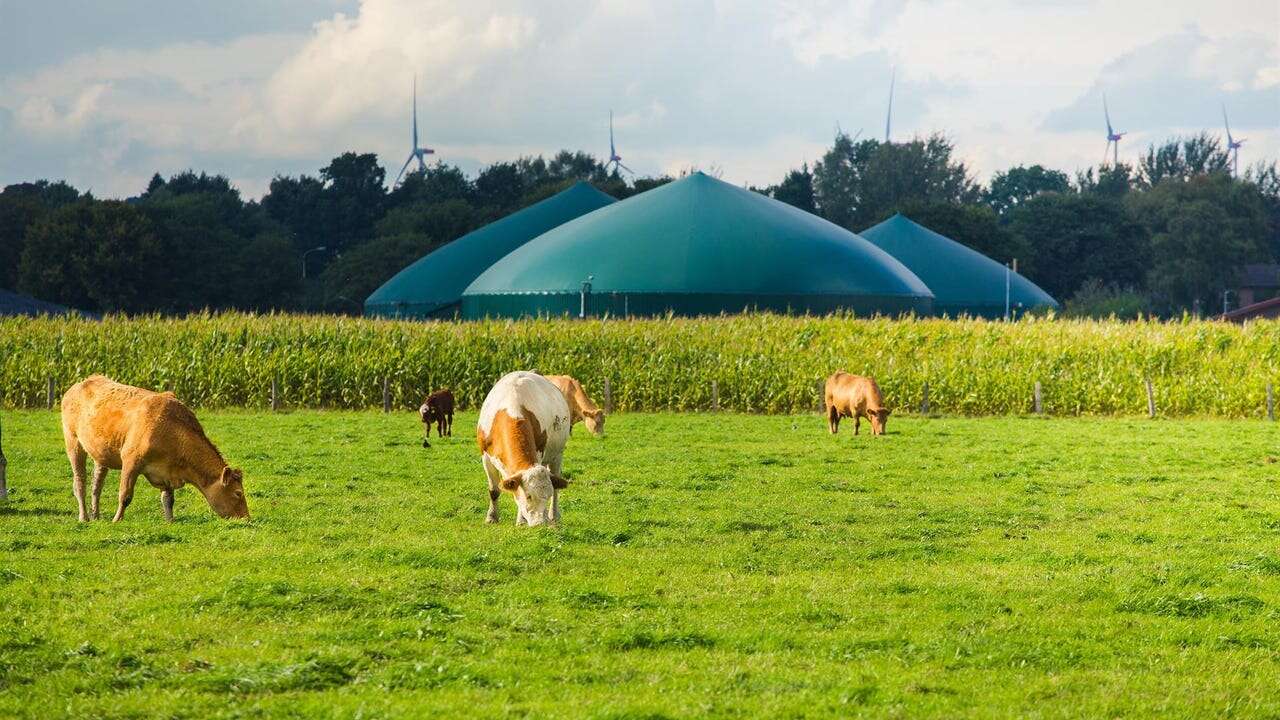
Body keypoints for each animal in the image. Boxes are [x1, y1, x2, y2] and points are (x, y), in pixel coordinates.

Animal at [60, 371, 249, 517]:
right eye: (238, 493)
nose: (246, 518)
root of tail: (79, 384)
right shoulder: (131, 460)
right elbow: (125, 496)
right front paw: (116, 520)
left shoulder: (167, 471)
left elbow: (168, 500)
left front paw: (170, 522)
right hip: (73, 442)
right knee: (80, 482)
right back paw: (84, 517)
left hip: (101, 452)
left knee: (96, 485)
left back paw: (96, 516)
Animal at [478, 371, 573, 525]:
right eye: (528, 496)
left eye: (546, 496)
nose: (539, 523)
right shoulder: (485, 457)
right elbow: (494, 490)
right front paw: (491, 517)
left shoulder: (539, 453)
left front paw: (521, 521)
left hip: (558, 454)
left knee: (556, 486)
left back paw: (553, 515)